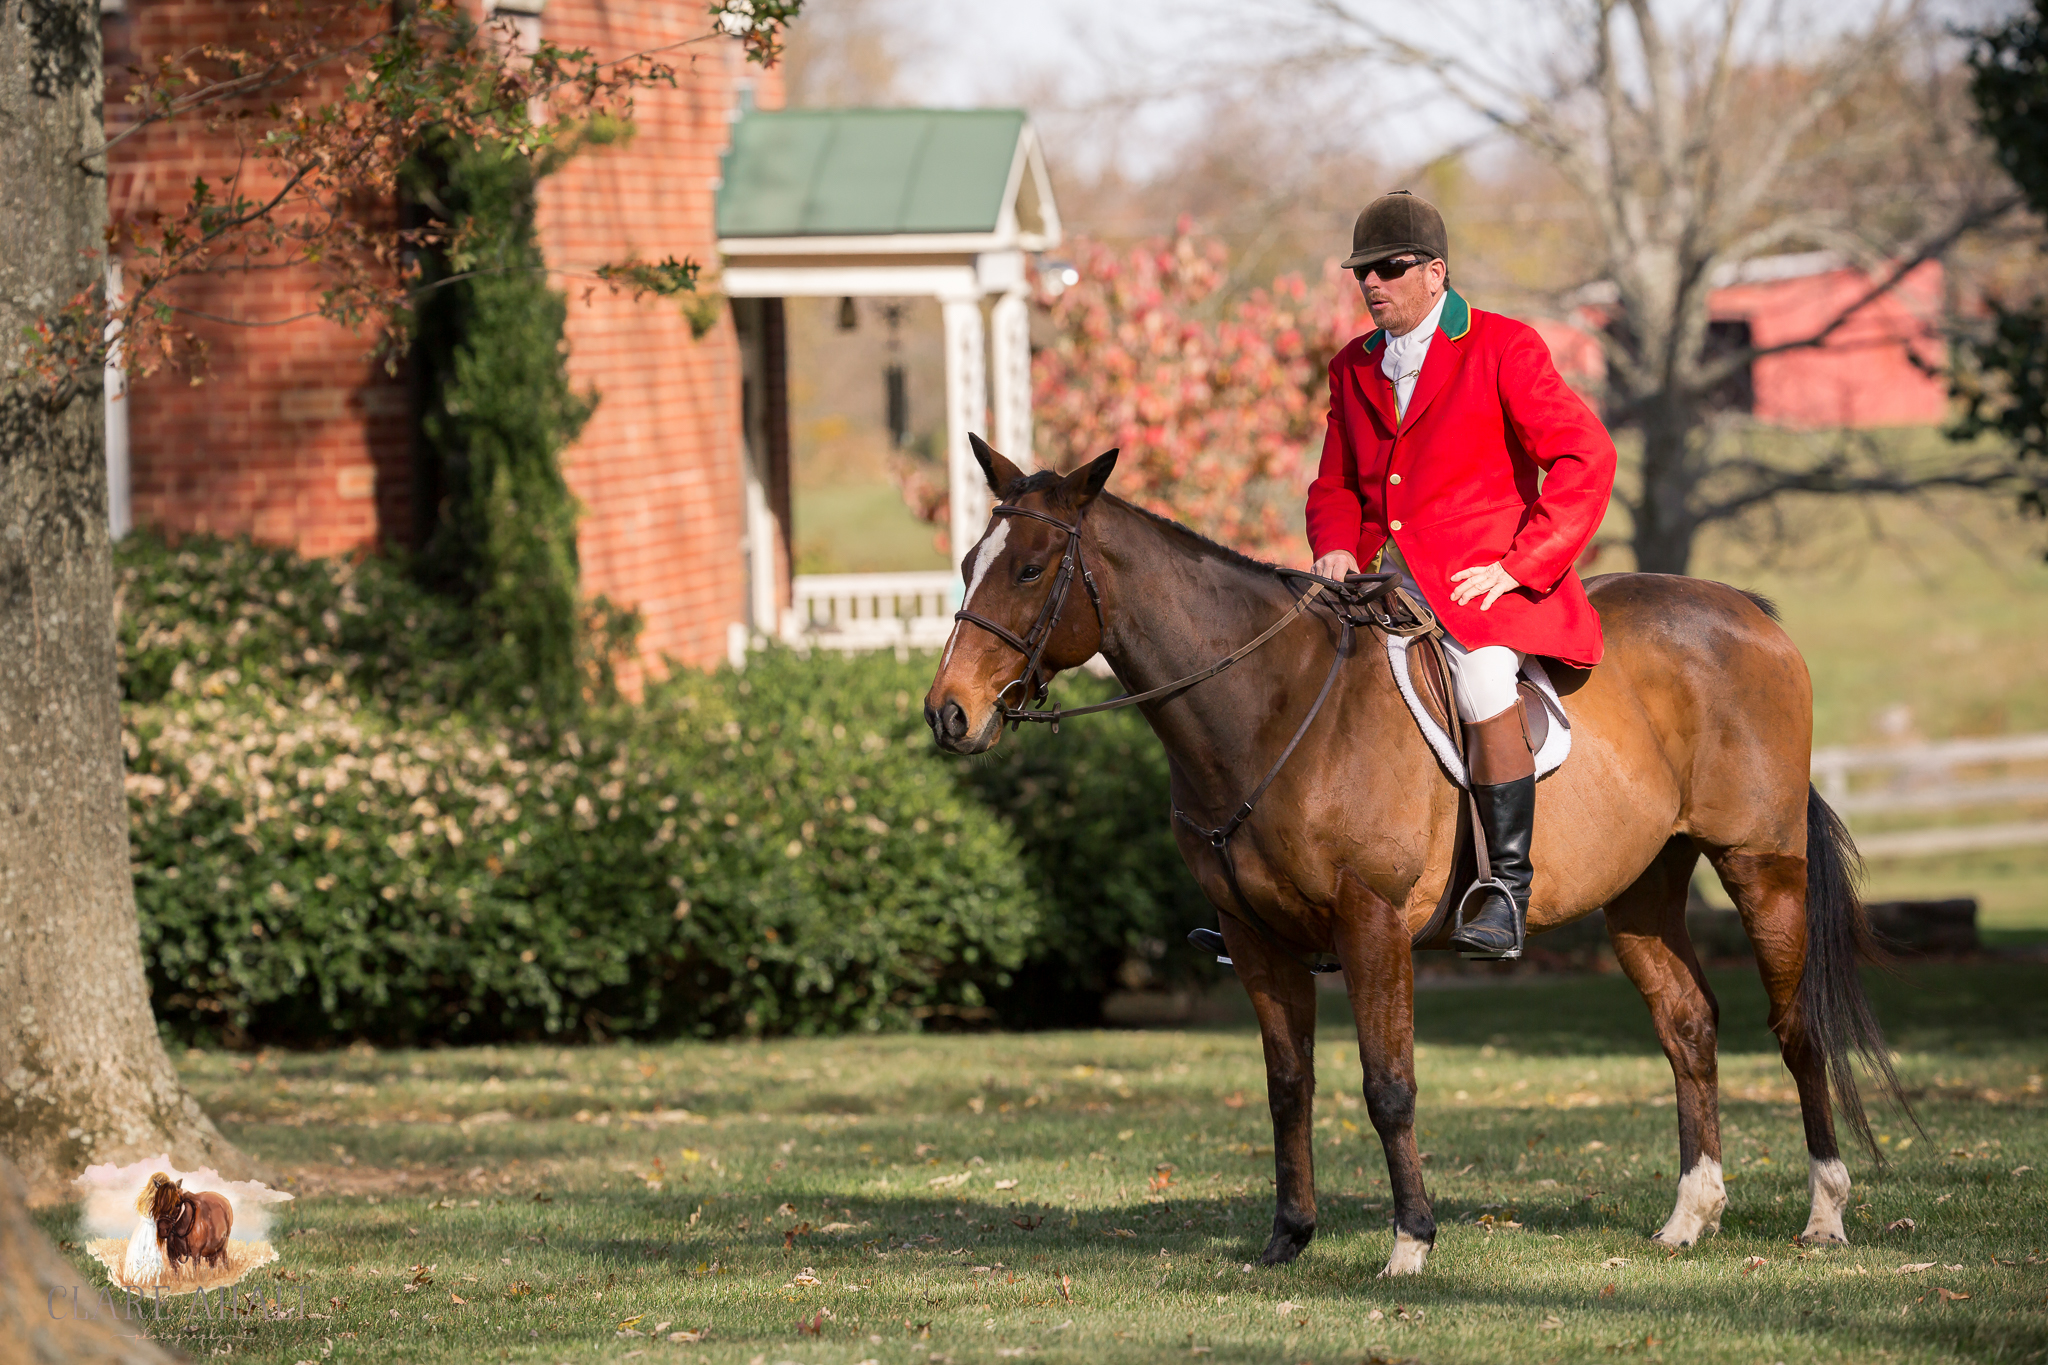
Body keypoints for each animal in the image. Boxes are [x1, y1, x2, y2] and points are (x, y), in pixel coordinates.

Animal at [929, 446, 1900, 1285]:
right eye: (971, 561)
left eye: (1028, 570)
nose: (949, 713)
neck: (1271, 705)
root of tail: (1747, 611)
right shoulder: (1256, 937)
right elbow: (1288, 1084)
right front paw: (1289, 1236)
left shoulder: (1373, 922)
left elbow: (1387, 1084)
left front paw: (1411, 1241)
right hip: (1642, 893)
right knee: (1688, 1026)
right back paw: (1690, 1215)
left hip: (1761, 867)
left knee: (1796, 1027)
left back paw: (1825, 1212)